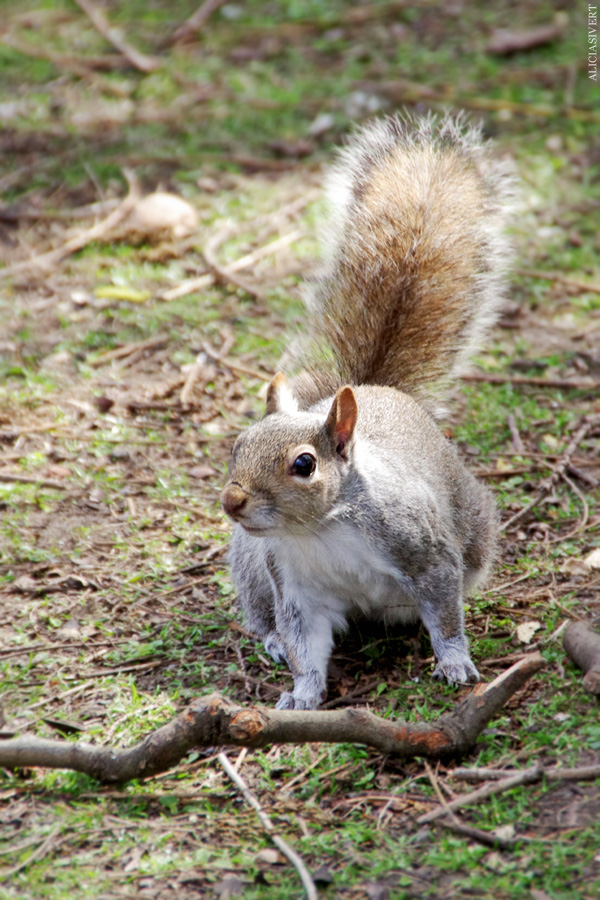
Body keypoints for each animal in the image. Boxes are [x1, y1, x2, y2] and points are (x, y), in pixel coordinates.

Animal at [223, 114, 512, 712]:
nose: (232, 500)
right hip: (251, 564)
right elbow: (304, 643)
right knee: (261, 614)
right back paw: (270, 642)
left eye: (304, 464)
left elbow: (445, 613)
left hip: (472, 531)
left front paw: (455, 661)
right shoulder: (293, 586)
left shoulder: (425, 553)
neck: (320, 531)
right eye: (237, 444)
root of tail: (377, 388)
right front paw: (301, 695)